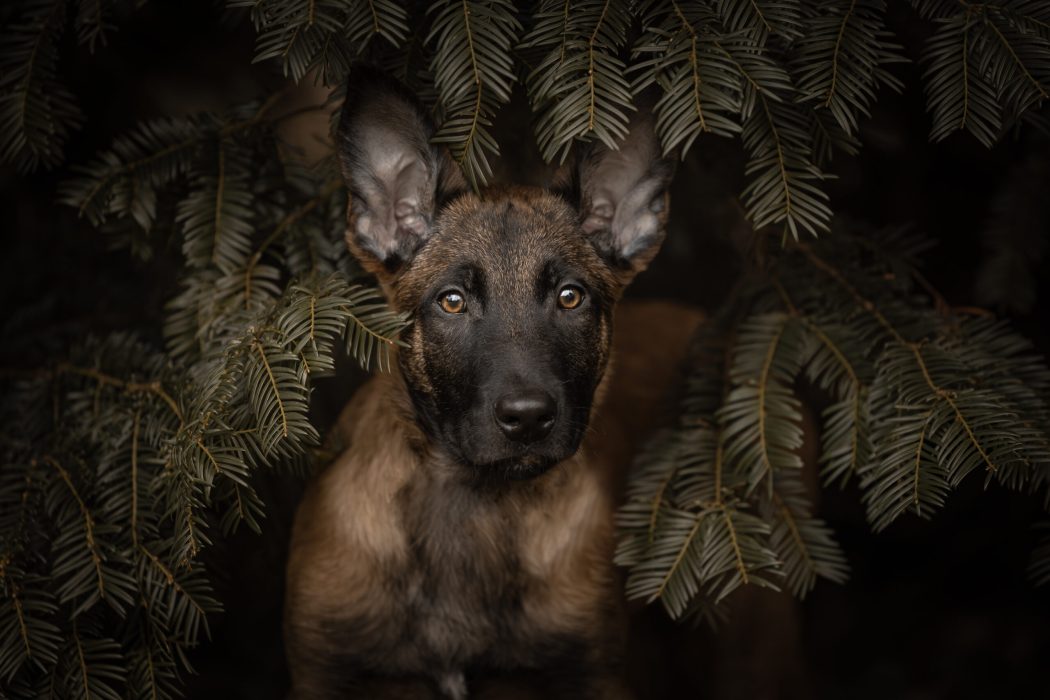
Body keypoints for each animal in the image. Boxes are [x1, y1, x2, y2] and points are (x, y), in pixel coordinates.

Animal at [283, 71, 701, 700]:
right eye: (452, 301)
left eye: (570, 297)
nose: (527, 418)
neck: (473, 501)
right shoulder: (319, 669)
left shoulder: (593, 671)